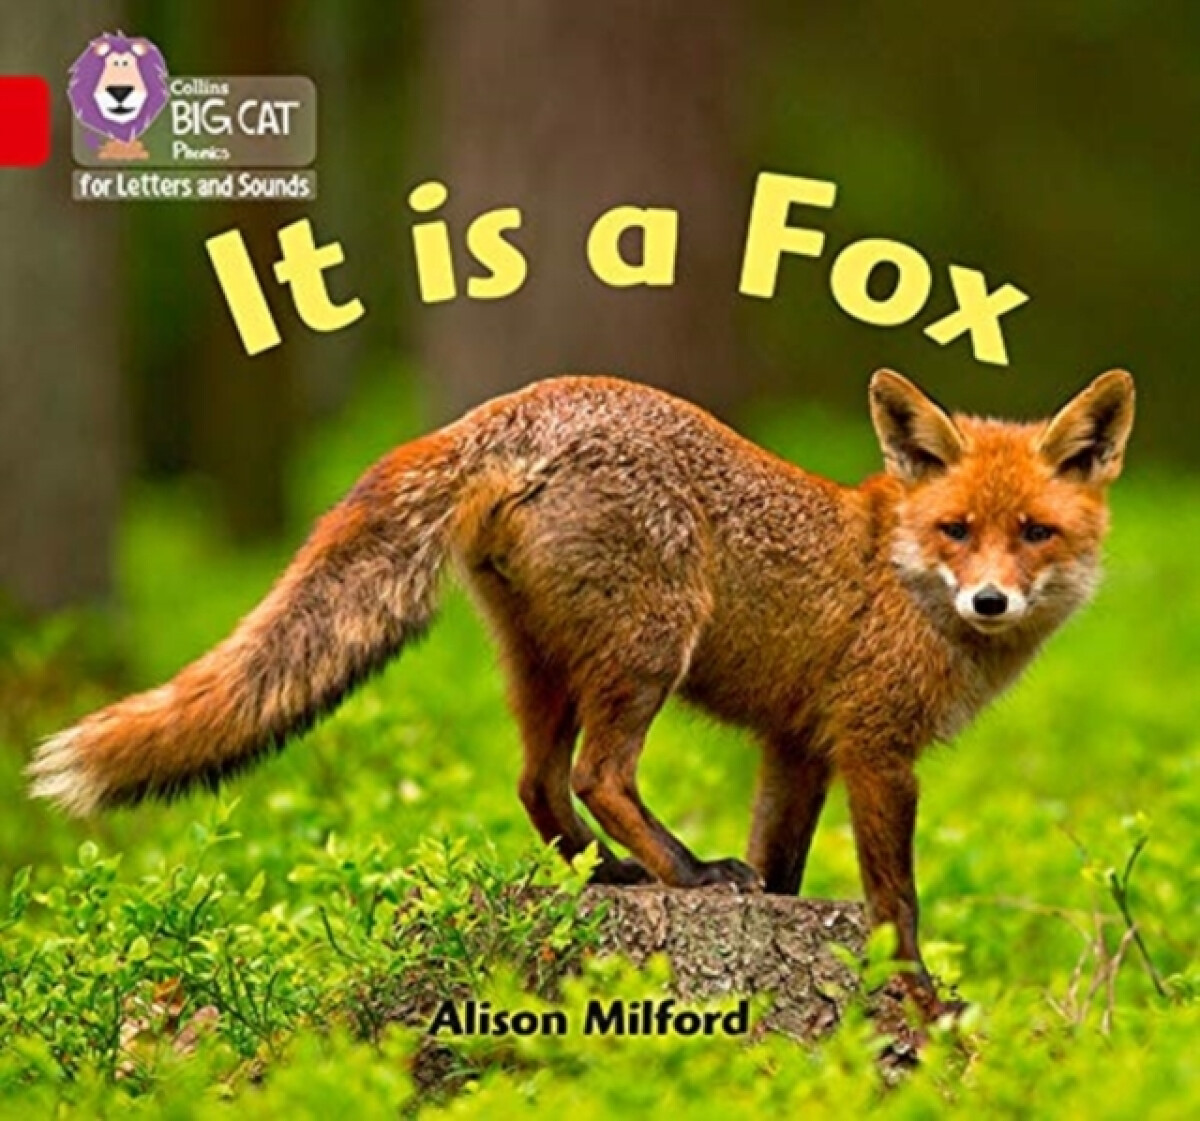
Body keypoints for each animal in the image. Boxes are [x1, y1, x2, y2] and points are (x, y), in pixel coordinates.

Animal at [29, 368, 1135, 1015]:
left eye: (1034, 531)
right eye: (958, 530)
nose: (990, 599)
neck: (899, 573)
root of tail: (510, 404)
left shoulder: (796, 746)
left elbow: (785, 868)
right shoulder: (874, 746)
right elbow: (895, 897)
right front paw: (917, 997)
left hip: (545, 665)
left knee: (536, 783)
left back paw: (610, 875)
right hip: (648, 648)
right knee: (602, 773)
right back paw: (685, 874)